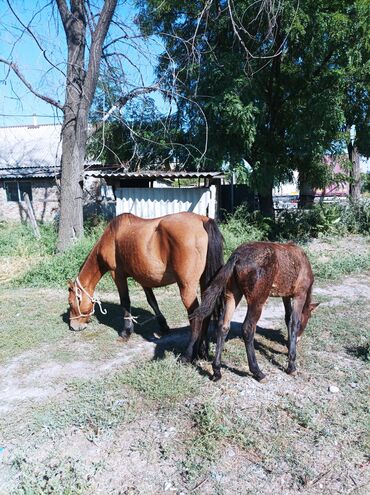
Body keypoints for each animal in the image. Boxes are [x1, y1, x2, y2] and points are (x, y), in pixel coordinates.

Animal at [67, 211, 223, 358]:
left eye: (71, 302)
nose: (74, 326)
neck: (112, 236)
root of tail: (202, 220)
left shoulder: (117, 275)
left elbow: (125, 301)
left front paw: (126, 332)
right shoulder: (144, 278)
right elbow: (152, 301)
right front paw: (163, 326)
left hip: (186, 288)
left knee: (197, 318)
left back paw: (188, 354)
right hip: (205, 283)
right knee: (206, 314)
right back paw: (202, 350)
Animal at [191, 242, 318, 382]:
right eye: (308, 318)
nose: (298, 340)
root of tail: (237, 256)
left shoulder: (285, 295)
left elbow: (287, 317)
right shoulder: (299, 294)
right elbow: (294, 322)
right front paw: (291, 366)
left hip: (232, 294)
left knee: (223, 326)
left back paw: (217, 371)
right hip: (257, 300)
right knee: (248, 328)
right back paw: (257, 372)